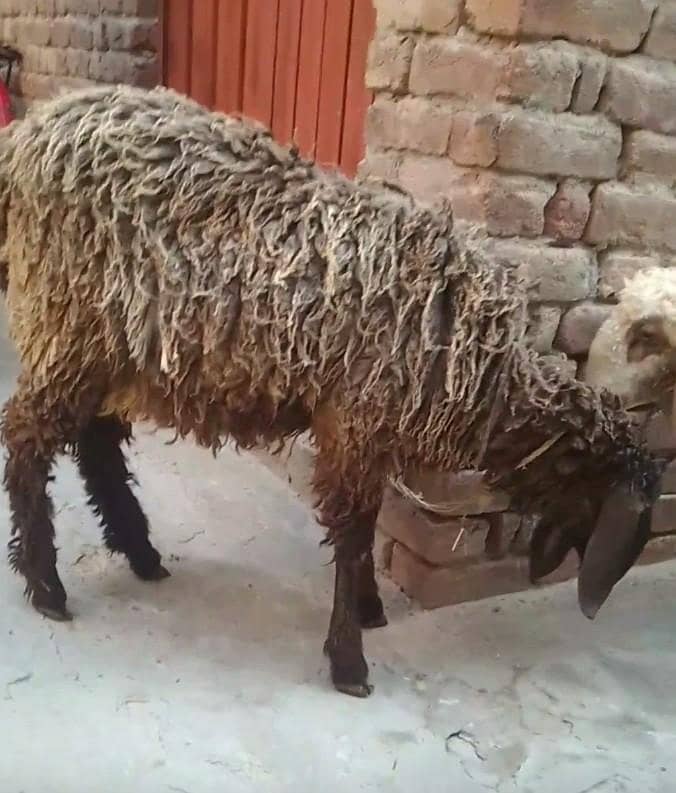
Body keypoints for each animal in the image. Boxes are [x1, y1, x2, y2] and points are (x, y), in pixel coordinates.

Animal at [0, 83, 666, 698]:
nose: (587, 602)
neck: (486, 374)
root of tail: (30, 134)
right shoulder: (355, 423)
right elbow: (351, 533)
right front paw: (350, 659)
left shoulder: (370, 433)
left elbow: (366, 529)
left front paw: (369, 609)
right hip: (67, 323)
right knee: (28, 436)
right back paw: (47, 585)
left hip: (111, 347)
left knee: (95, 442)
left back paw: (140, 553)